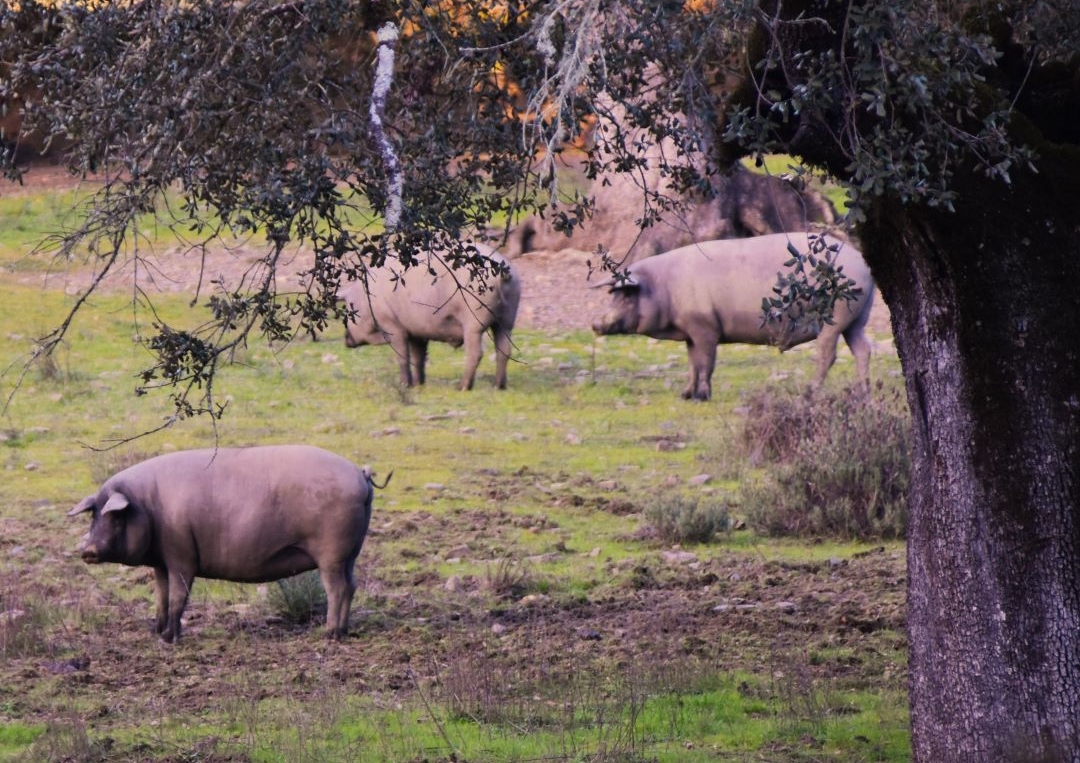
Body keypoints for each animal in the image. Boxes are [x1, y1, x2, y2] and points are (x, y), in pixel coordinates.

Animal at [68, 445, 387, 643]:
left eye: (116, 516)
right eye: (94, 515)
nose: (87, 551)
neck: (148, 506)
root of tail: (360, 474)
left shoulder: (182, 556)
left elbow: (177, 598)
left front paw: (169, 639)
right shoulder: (161, 563)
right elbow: (160, 596)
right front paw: (155, 632)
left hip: (331, 554)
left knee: (337, 588)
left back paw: (329, 634)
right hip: (351, 553)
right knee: (352, 585)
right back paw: (343, 630)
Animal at [340, 242, 521, 390]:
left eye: (348, 309)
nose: (346, 339)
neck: (367, 300)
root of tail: (504, 272)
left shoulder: (393, 326)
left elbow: (402, 356)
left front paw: (405, 385)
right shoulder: (416, 332)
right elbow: (418, 357)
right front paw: (419, 384)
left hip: (474, 321)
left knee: (476, 352)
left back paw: (462, 387)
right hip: (507, 319)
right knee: (504, 350)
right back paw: (499, 386)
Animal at [592, 233, 874, 400]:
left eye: (626, 296)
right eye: (612, 294)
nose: (595, 323)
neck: (666, 289)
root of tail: (864, 266)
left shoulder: (705, 327)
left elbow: (706, 363)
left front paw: (702, 396)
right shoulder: (691, 332)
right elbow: (692, 363)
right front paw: (685, 395)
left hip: (834, 318)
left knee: (828, 354)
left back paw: (810, 392)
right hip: (856, 319)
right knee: (863, 349)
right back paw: (863, 392)